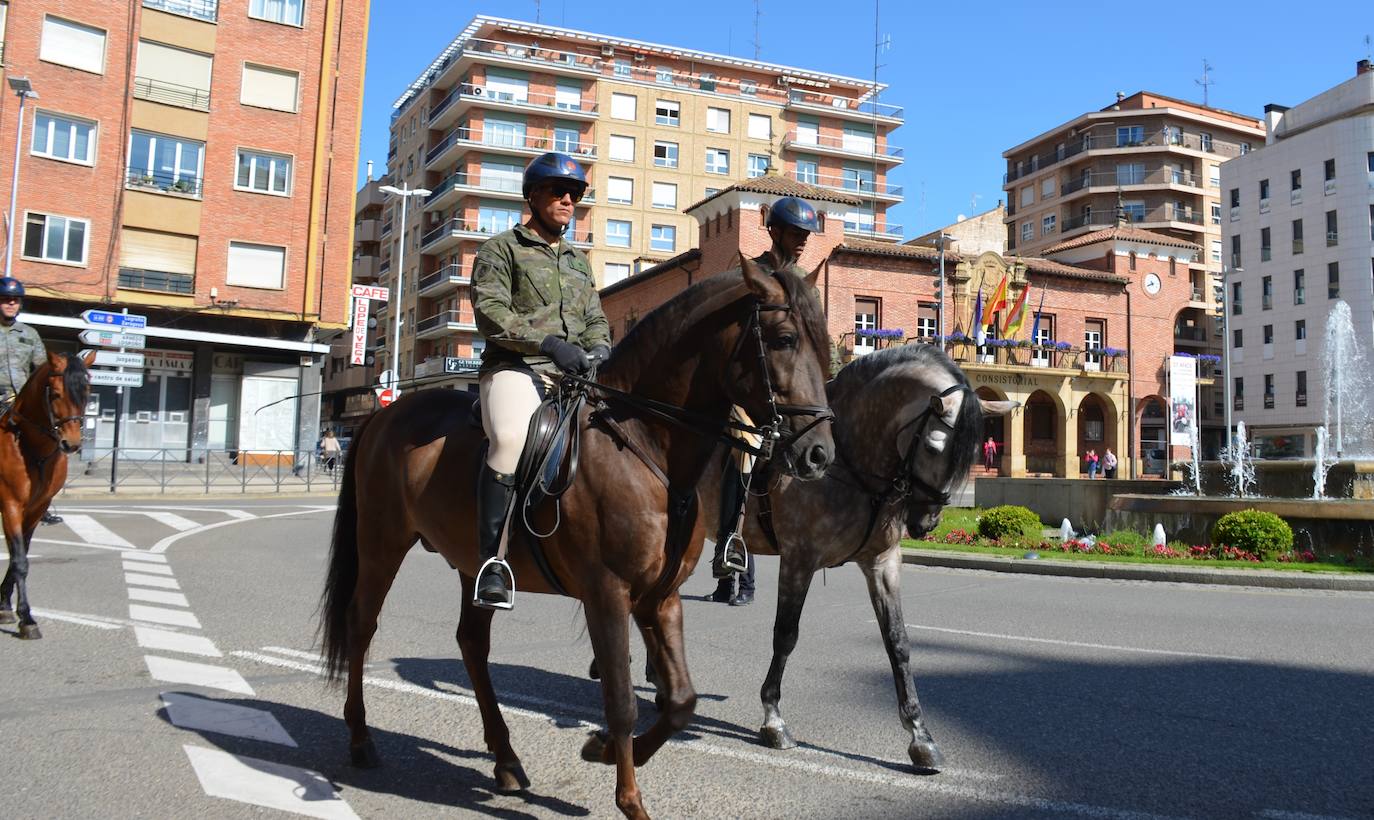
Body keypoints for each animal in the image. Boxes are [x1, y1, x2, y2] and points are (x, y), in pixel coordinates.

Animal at [0, 351, 92, 640]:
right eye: (56, 394)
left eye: (87, 392)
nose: (71, 444)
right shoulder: (11, 504)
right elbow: (19, 560)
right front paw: (26, 618)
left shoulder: (36, 508)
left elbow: (19, 556)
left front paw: (8, 608)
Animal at [318, 256, 835, 818]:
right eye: (784, 339)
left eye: (825, 343)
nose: (820, 454)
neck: (646, 444)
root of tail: (383, 415)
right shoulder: (607, 593)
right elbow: (622, 700)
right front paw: (629, 799)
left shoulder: (659, 597)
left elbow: (680, 701)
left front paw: (604, 749)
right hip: (381, 544)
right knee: (361, 626)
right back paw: (361, 740)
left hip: (469, 565)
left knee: (472, 644)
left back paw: (505, 759)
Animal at [703, 342, 1016, 769]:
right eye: (933, 446)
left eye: (969, 454)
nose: (927, 522)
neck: (848, 461)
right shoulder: (798, 560)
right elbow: (785, 635)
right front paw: (773, 719)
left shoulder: (882, 563)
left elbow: (898, 641)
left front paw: (920, 735)